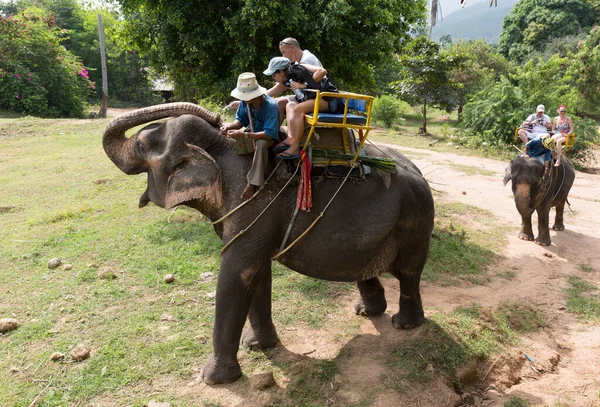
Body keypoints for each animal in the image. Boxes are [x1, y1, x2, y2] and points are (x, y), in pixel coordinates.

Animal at [101, 103, 434, 386]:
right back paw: (367, 311)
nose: (219, 118)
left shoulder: (251, 204)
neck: (219, 148)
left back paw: (404, 324)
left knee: (408, 274)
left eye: (142, 145)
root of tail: (418, 171)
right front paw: (259, 346)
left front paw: (212, 379)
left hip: (415, 222)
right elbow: (256, 272)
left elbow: (236, 273)